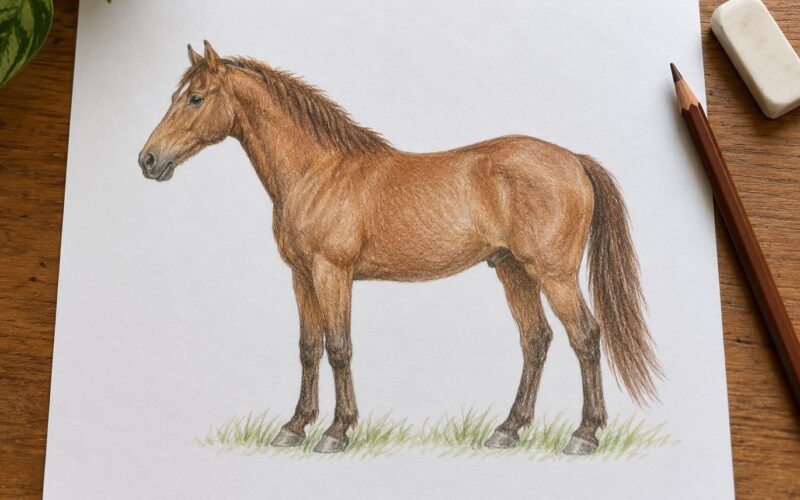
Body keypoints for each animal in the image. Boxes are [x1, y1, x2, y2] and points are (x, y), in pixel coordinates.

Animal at [138, 41, 661, 455]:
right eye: (175, 96)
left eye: (195, 98)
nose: (148, 160)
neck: (317, 171)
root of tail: (573, 159)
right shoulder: (301, 275)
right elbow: (307, 348)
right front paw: (293, 427)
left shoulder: (332, 272)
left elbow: (338, 348)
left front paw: (337, 432)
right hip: (512, 270)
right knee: (536, 341)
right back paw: (507, 430)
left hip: (553, 273)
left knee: (585, 337)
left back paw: (585, 434)